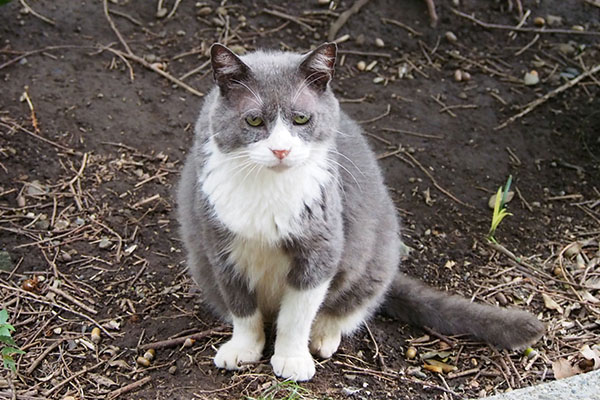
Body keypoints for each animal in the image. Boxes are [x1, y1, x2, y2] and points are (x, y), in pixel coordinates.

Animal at [176, 41, 548, 382]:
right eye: (253, 119)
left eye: (301, 118)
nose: (281, 150)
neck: (270, 188)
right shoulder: (218, 244)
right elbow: (242, 306)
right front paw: (243, 348)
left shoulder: (323, 242)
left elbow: (297, 312)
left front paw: (292, 359)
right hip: (201, 262)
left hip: (374, 258)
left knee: (351, 304)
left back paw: (324, 335)